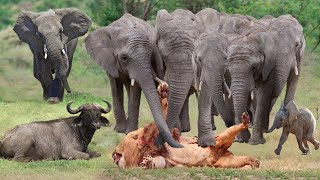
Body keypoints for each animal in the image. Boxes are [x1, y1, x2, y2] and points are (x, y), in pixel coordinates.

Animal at [84, 13, 182, 148]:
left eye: (150, 55)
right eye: (124, 58)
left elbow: (135, 90)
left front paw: (129, 132)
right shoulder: (110, 61)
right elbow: (115, 87)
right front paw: (119, 130)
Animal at [226, 14, 304, 145]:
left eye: (297, 45)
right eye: (229, 69)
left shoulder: (274, 63)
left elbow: (266, 92)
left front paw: (255, 142)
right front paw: (243, 139)